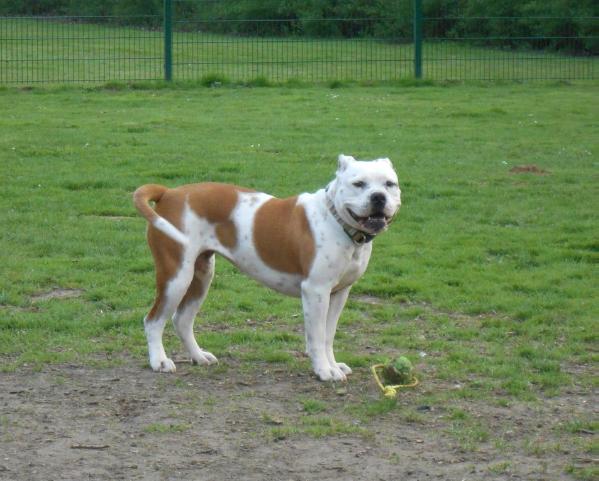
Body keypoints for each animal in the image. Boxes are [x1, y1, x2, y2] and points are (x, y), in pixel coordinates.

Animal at [134, 156, 400, 380]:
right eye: (359, 184)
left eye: (390, 184)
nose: (378, 197)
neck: (337, 220)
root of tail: (169, 192)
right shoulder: (316, 291)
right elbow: (316, 336)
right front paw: (324, 371)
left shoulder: (339, 293)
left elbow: (328, 335)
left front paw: (333, 365)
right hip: (176, 276)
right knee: (154, 321)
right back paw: (159, 361)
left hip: (201, 276)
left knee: (182, 320)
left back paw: (199, 357)